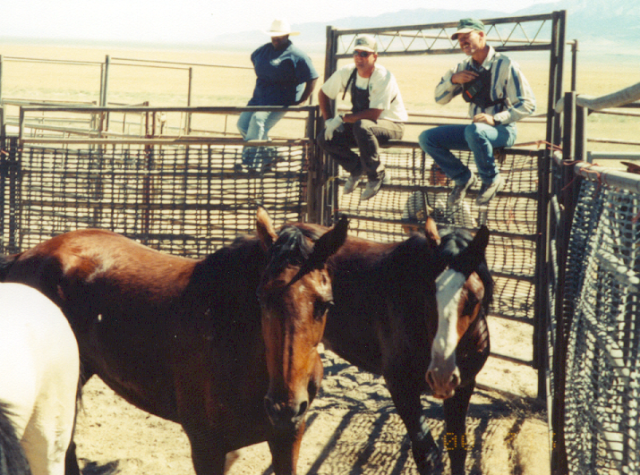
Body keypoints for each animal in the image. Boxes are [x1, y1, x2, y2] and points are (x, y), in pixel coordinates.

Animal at [292, 219, 492, 475]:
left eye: (475, 299)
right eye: (426, 294)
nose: (442, 374)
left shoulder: (464, 386)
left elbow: (458, 449)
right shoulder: (401, 387)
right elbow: (426, 453)